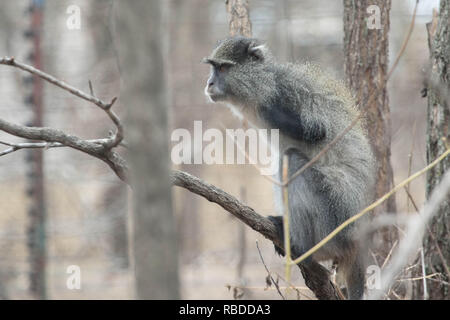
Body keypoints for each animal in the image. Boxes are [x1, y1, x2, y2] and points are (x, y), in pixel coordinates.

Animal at [204, 37, 376, 300]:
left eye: (223, 68)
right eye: (213, 68)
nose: (210, 83)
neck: (262, 83)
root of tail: (358, 242)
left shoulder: (282, 94)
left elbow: (318, 131)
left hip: (334, 223)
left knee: (291, 159)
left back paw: (304, 248)